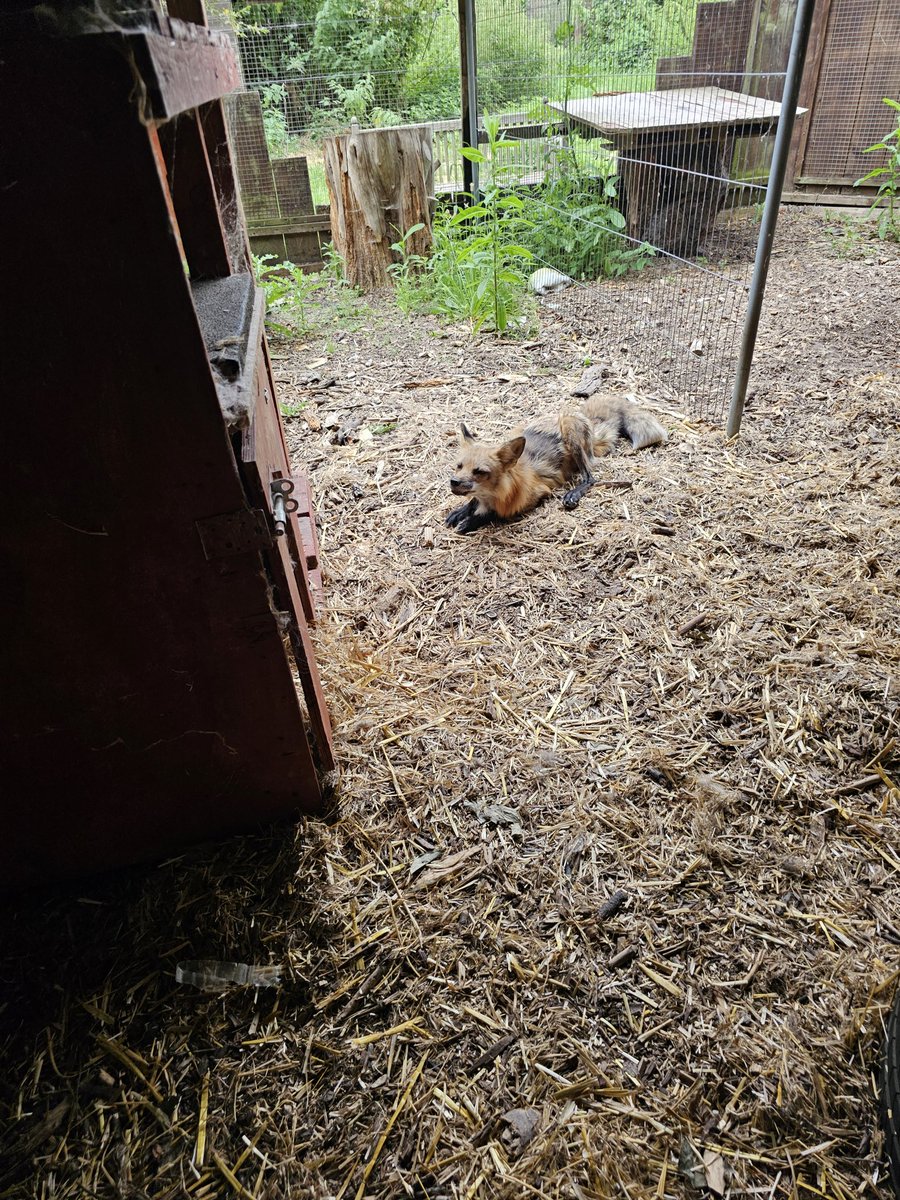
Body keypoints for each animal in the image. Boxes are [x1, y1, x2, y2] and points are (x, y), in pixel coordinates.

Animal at [446, 395, 667, 534]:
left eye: (479, 471)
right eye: (459, 466)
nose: (453, 482)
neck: (500, 493)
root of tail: (587, 419)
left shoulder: (537, 495)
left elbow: (495, 514)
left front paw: (471, 520)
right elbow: (472, 502)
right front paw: (462, 511)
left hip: (571, 431)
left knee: (590, 477)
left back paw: (573, 494)